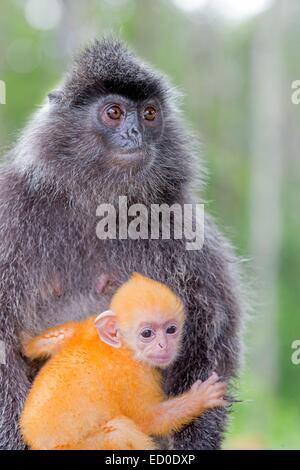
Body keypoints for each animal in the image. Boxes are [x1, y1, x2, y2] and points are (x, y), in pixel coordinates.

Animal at [20, 274, 227, 450]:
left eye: (171, 330)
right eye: (147, 333)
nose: (164, 345)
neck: (122, 347)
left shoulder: (87, 327)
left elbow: (51, 339)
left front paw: (29, 342)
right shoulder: (134, 374)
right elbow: (148, 420)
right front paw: (201, 397)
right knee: (119, 431)